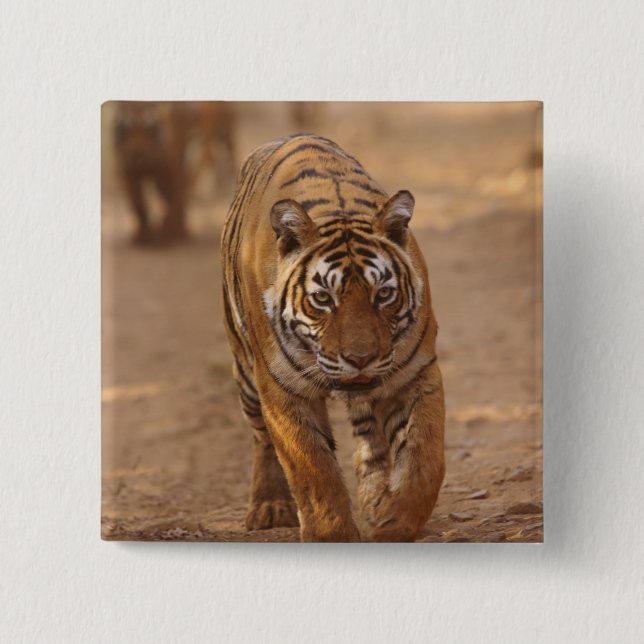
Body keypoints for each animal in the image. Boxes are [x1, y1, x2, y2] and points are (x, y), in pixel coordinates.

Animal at [221, 133, 445, 542]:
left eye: (383, 295)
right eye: (323, 299)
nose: (360, 359)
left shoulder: (416, 372)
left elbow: (425, 457)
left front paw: (394, 521)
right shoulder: (283, 387)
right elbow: (313, 469)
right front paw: (331, 535)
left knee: (370, 439)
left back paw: (374, 501)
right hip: (245, 375)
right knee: (262, 439)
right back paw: (269, 507)